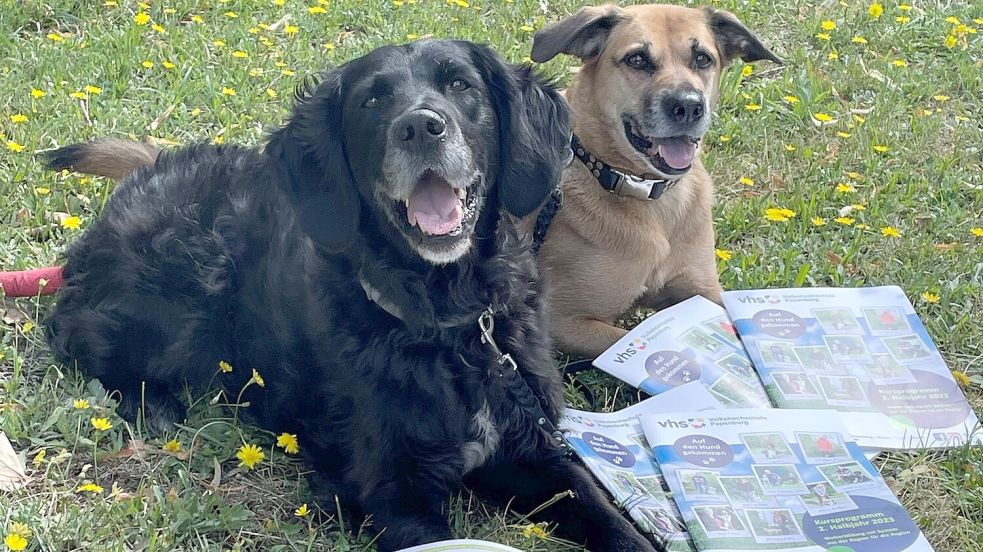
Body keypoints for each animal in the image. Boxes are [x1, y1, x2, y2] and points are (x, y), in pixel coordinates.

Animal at [46, 40, 660, 552]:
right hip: (183, 298)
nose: (421, 127)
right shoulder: (394, 495)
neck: (450, 323)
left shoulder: (535, 449)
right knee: (74, 329)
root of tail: (148, 169)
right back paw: (155, 404)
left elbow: (611, 521)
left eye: (460, 84)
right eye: (372, 100)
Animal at [532, 3, 776, 358]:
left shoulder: (704, 289)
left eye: (702, 58)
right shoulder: (563, 322)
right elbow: (624, 339)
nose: (688, 106)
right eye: (637, 59)